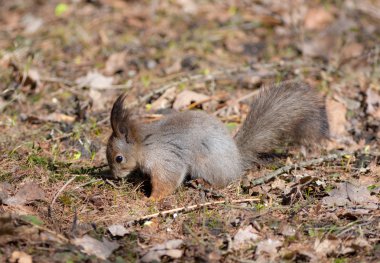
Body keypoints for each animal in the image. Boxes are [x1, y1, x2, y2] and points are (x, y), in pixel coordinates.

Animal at [106, 80, 330, 200]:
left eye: (119, 158)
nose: (115, 177)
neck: (144, 145)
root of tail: (237, 161)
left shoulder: (165, 159)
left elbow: (167, 181)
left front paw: (151, 199)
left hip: (207, 164)